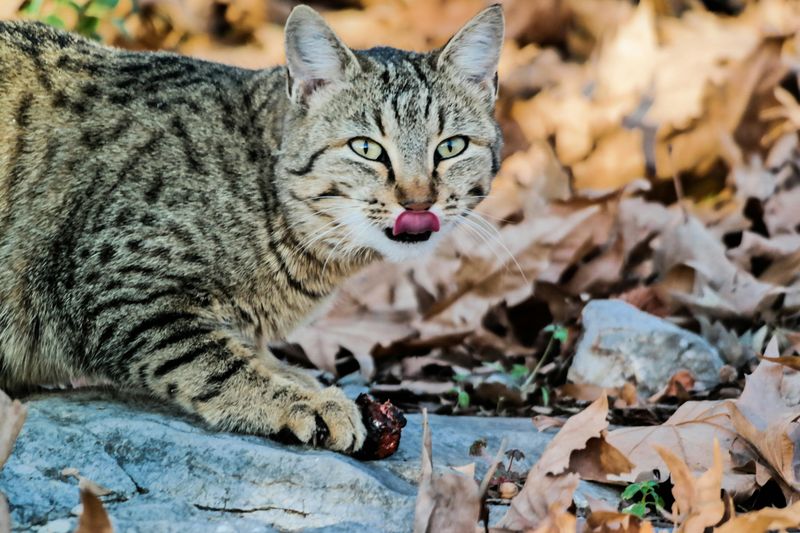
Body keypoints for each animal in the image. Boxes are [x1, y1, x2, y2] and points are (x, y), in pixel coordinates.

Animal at [0, 4, 500, 454]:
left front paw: (303, 380)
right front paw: (299, 401)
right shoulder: (115, 291)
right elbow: (212, 360)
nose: (418, 202)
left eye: (451, 147)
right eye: (366, 148)